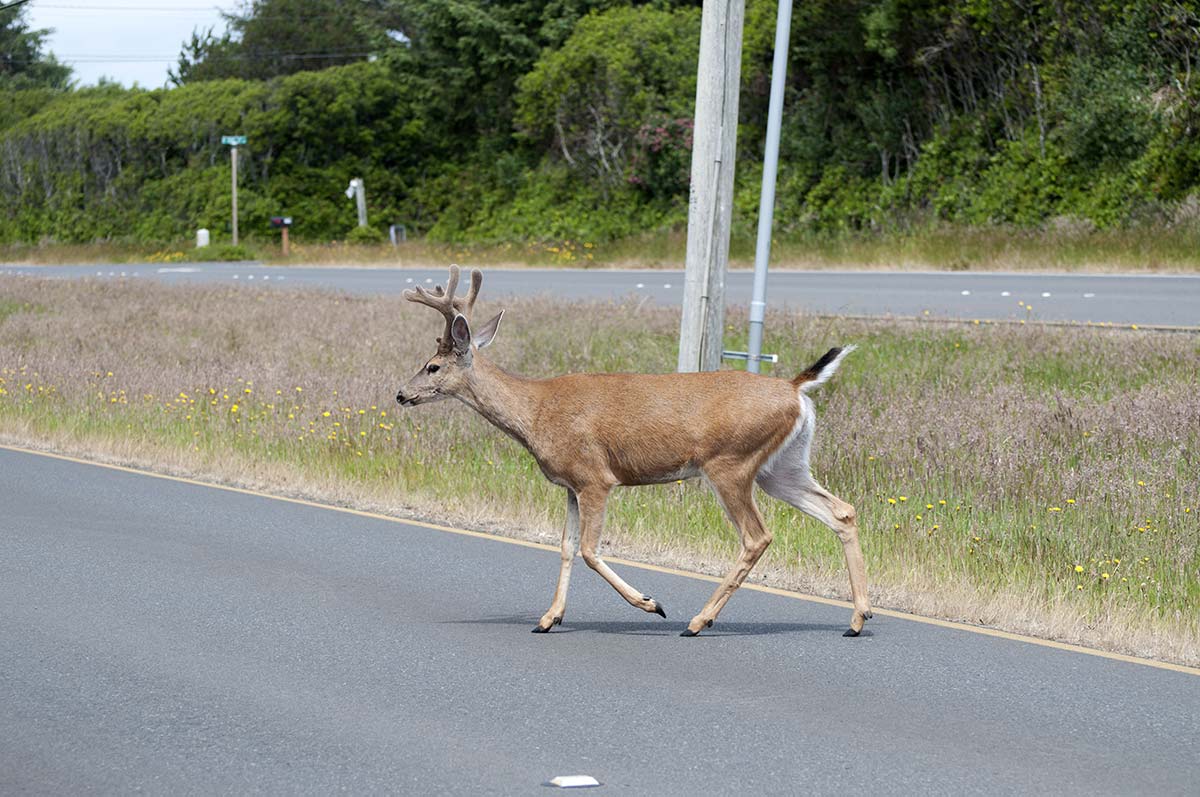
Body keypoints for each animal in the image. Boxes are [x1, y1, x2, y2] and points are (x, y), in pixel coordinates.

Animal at [396, 264, 873, 638]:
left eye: (432, 366)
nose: (401, 394)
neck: (535, 413)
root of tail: (795, 388)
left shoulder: (595, 477)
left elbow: (590, 550)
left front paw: (650, 603)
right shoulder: (570, 485)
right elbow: (566, 547)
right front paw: (549, 618)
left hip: (731, 463)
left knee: (758, 536)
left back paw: (698, 621)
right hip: (782, 466)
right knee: (842, 511)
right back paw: (858, 618)